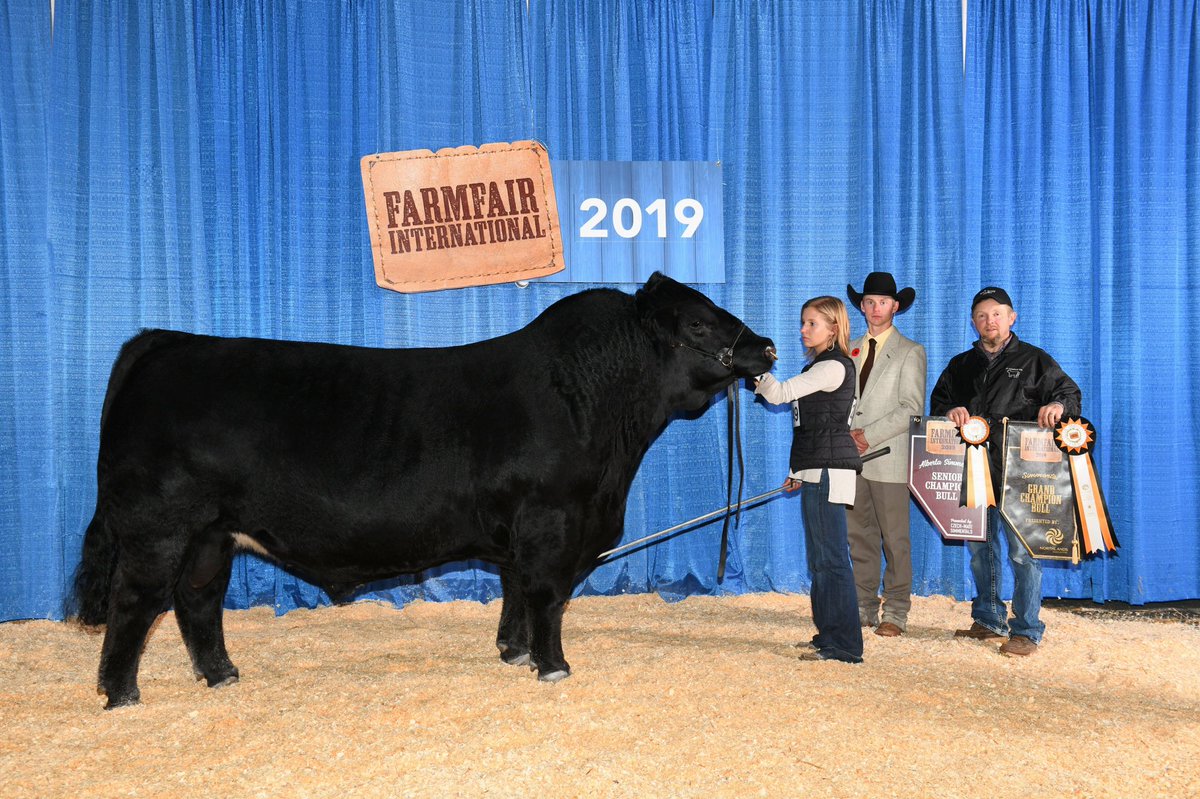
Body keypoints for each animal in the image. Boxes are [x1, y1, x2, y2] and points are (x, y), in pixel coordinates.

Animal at [68, 272, 776, 708]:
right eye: (697, 326)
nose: (767, 347)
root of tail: (163, 343)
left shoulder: (521, 533)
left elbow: (515, 591)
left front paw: (513, 653)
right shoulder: (552, 521)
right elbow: (546, 596)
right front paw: (554, 667)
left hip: (213, 535)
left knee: (197, 600)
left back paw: (222, 676)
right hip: (159, 528)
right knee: (137, 601)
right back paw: (122, 694)